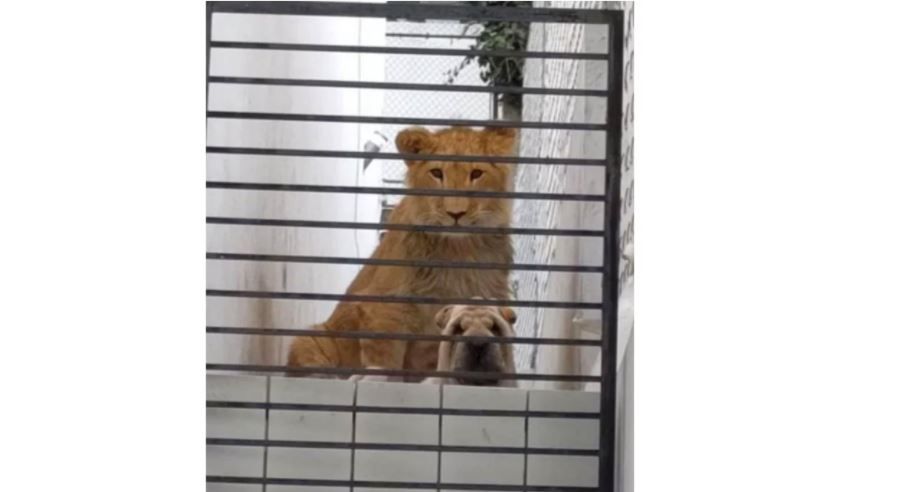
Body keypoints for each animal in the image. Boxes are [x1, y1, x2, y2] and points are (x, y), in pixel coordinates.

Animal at [287, 126, 517, 381]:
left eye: (476, 173)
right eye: (437, 173)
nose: (455, 213)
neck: (459, 249)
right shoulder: (385, 307)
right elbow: (385, 358)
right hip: (310, 338)